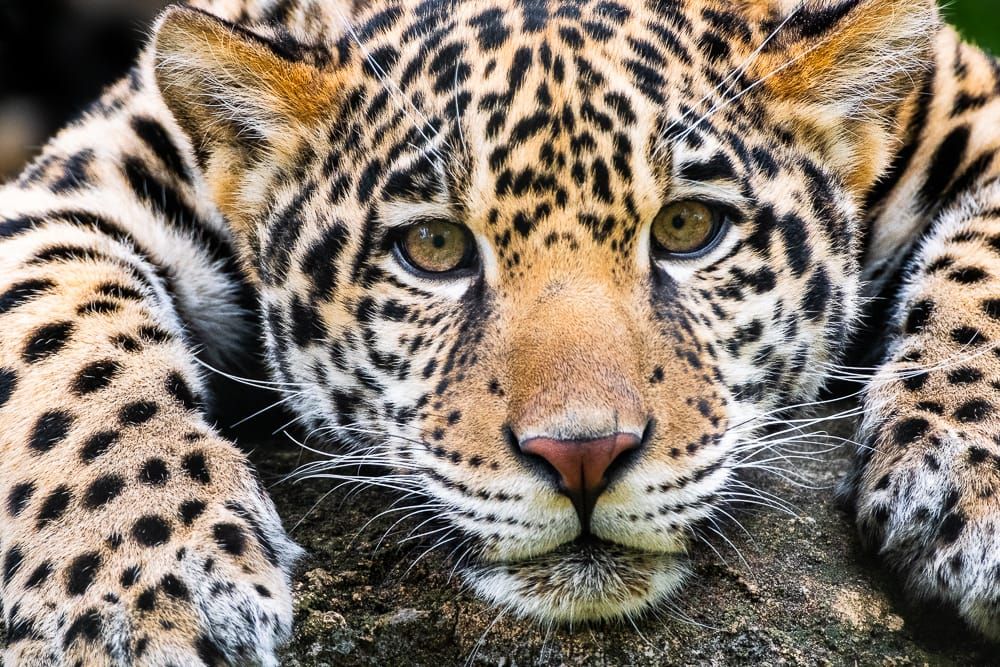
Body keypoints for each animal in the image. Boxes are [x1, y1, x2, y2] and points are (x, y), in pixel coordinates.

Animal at [2, 0, 1000, 663]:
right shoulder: (80, 180)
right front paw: (137, 590)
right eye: (434, 247)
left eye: (688, 228)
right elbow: (61, 343)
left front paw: (974, 493)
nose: (583, 456)